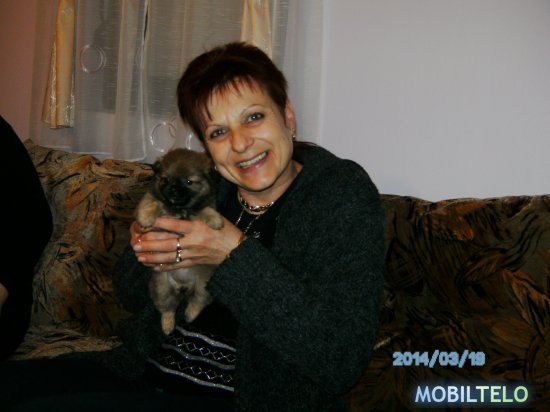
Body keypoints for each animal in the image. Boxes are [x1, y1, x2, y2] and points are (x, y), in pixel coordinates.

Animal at [135, 148, 223, 334]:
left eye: (189, 182)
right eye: (165, 179)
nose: (174, 190)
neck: (179, 209)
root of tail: (182, 286)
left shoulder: (200, 206)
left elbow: (204, 209)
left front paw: (215, 219)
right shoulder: (154, 197)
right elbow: (151, 201)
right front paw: (146, 217)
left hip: (203, 285)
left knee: (197, 301)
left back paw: (190, 315)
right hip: (161, 287)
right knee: (167, 309)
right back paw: (168, 325)